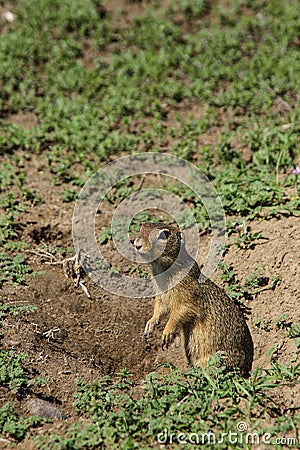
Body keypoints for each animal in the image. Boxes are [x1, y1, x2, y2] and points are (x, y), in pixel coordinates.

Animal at [135, 221, 254, 376]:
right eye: (142, 227)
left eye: (164, 234)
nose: (137, 244)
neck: (163, 267)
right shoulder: (161, 296)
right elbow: (159, 308)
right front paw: (150, 325)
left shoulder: (187, 296)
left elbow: (181, 311)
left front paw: (166, 333)